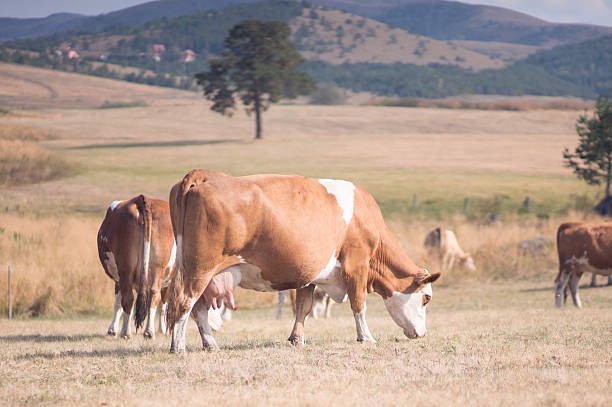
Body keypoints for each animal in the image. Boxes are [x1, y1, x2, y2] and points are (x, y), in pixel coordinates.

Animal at [166, 170, 440, 354]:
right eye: (426, 298)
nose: (423, 334)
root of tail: (202, 176)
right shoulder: (357, 266)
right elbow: (358, 304)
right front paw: (366, 337)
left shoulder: (309, 274)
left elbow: (303, 307)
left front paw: (296, 338)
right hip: (199, 268)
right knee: (184, 302)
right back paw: (178, 347)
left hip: (200, 271)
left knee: (199, 309)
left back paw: (210, 343)